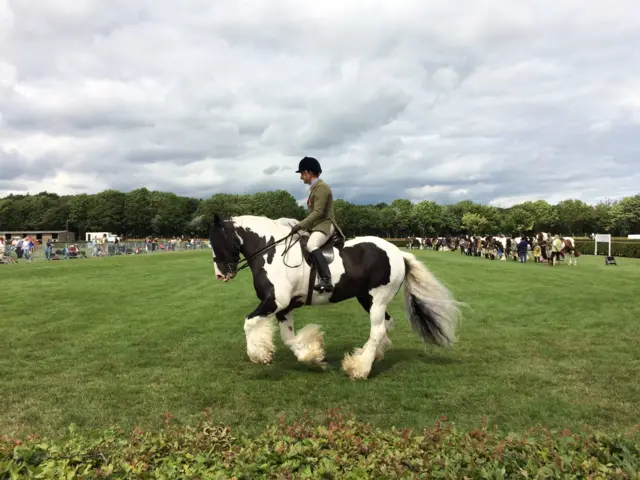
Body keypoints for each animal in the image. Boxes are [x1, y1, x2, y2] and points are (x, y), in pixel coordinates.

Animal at [209, 216, 460, 380]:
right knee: (386, 325)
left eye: (216, 241)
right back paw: (368, 355)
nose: (220, 275)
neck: (271, 252)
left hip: (377, 298)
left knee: (378, 329)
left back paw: (359, 369)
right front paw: (313, 355)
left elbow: (249, 323)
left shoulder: (275, 302)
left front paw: (259, 355)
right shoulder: (284, 307)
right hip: (366, 298)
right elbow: (289, 339)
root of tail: (399, 253)